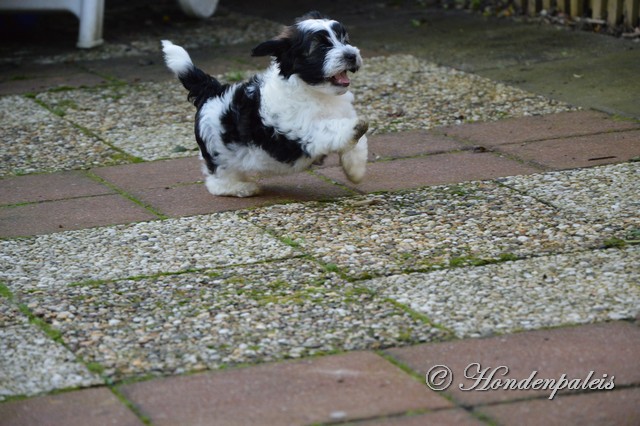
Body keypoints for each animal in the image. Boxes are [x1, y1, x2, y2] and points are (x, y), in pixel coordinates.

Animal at [162, 11, 368, 198]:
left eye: (344, 39)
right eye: (321, 47)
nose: (351, 55)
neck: (315, 91)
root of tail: (212, 91)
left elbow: (356, 144)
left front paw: (355, 171)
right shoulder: (301, 130)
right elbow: (329, 128)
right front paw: (356, 127)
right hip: (218, 151)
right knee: (217, 180)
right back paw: (240, 188)